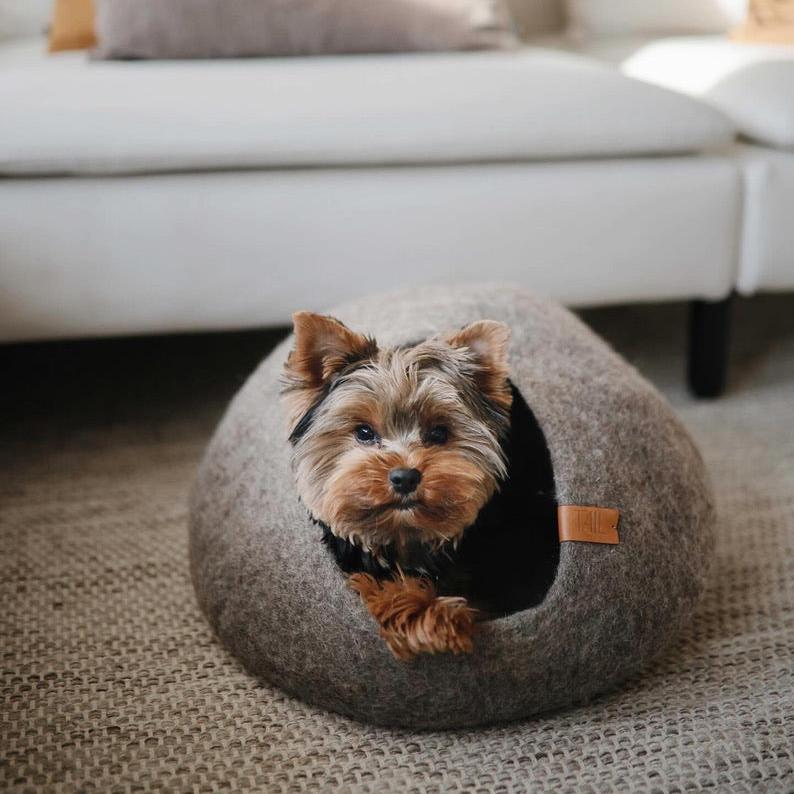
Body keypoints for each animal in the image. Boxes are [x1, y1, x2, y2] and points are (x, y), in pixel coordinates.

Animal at [280, 312, 556, 660]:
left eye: (439, 433)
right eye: (364, 432)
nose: (405, 477)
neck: (402, 540)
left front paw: (429, 615)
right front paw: (413, 610)